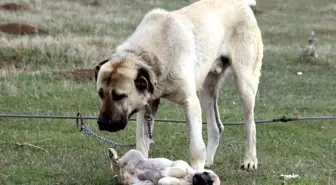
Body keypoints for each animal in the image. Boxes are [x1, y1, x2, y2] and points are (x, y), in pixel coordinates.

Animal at [94, 0, 262, 171]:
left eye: (119, 96)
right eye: (100, 94)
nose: (102, 123)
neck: (148, 54)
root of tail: (243, 4)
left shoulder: (190, 102)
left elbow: (196, 148)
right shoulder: (147, 107)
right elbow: (141, 145)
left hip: (244, 85)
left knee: (250, 124)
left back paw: (250, 160)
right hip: (207, 90)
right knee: (216, 127)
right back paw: (208, 162)